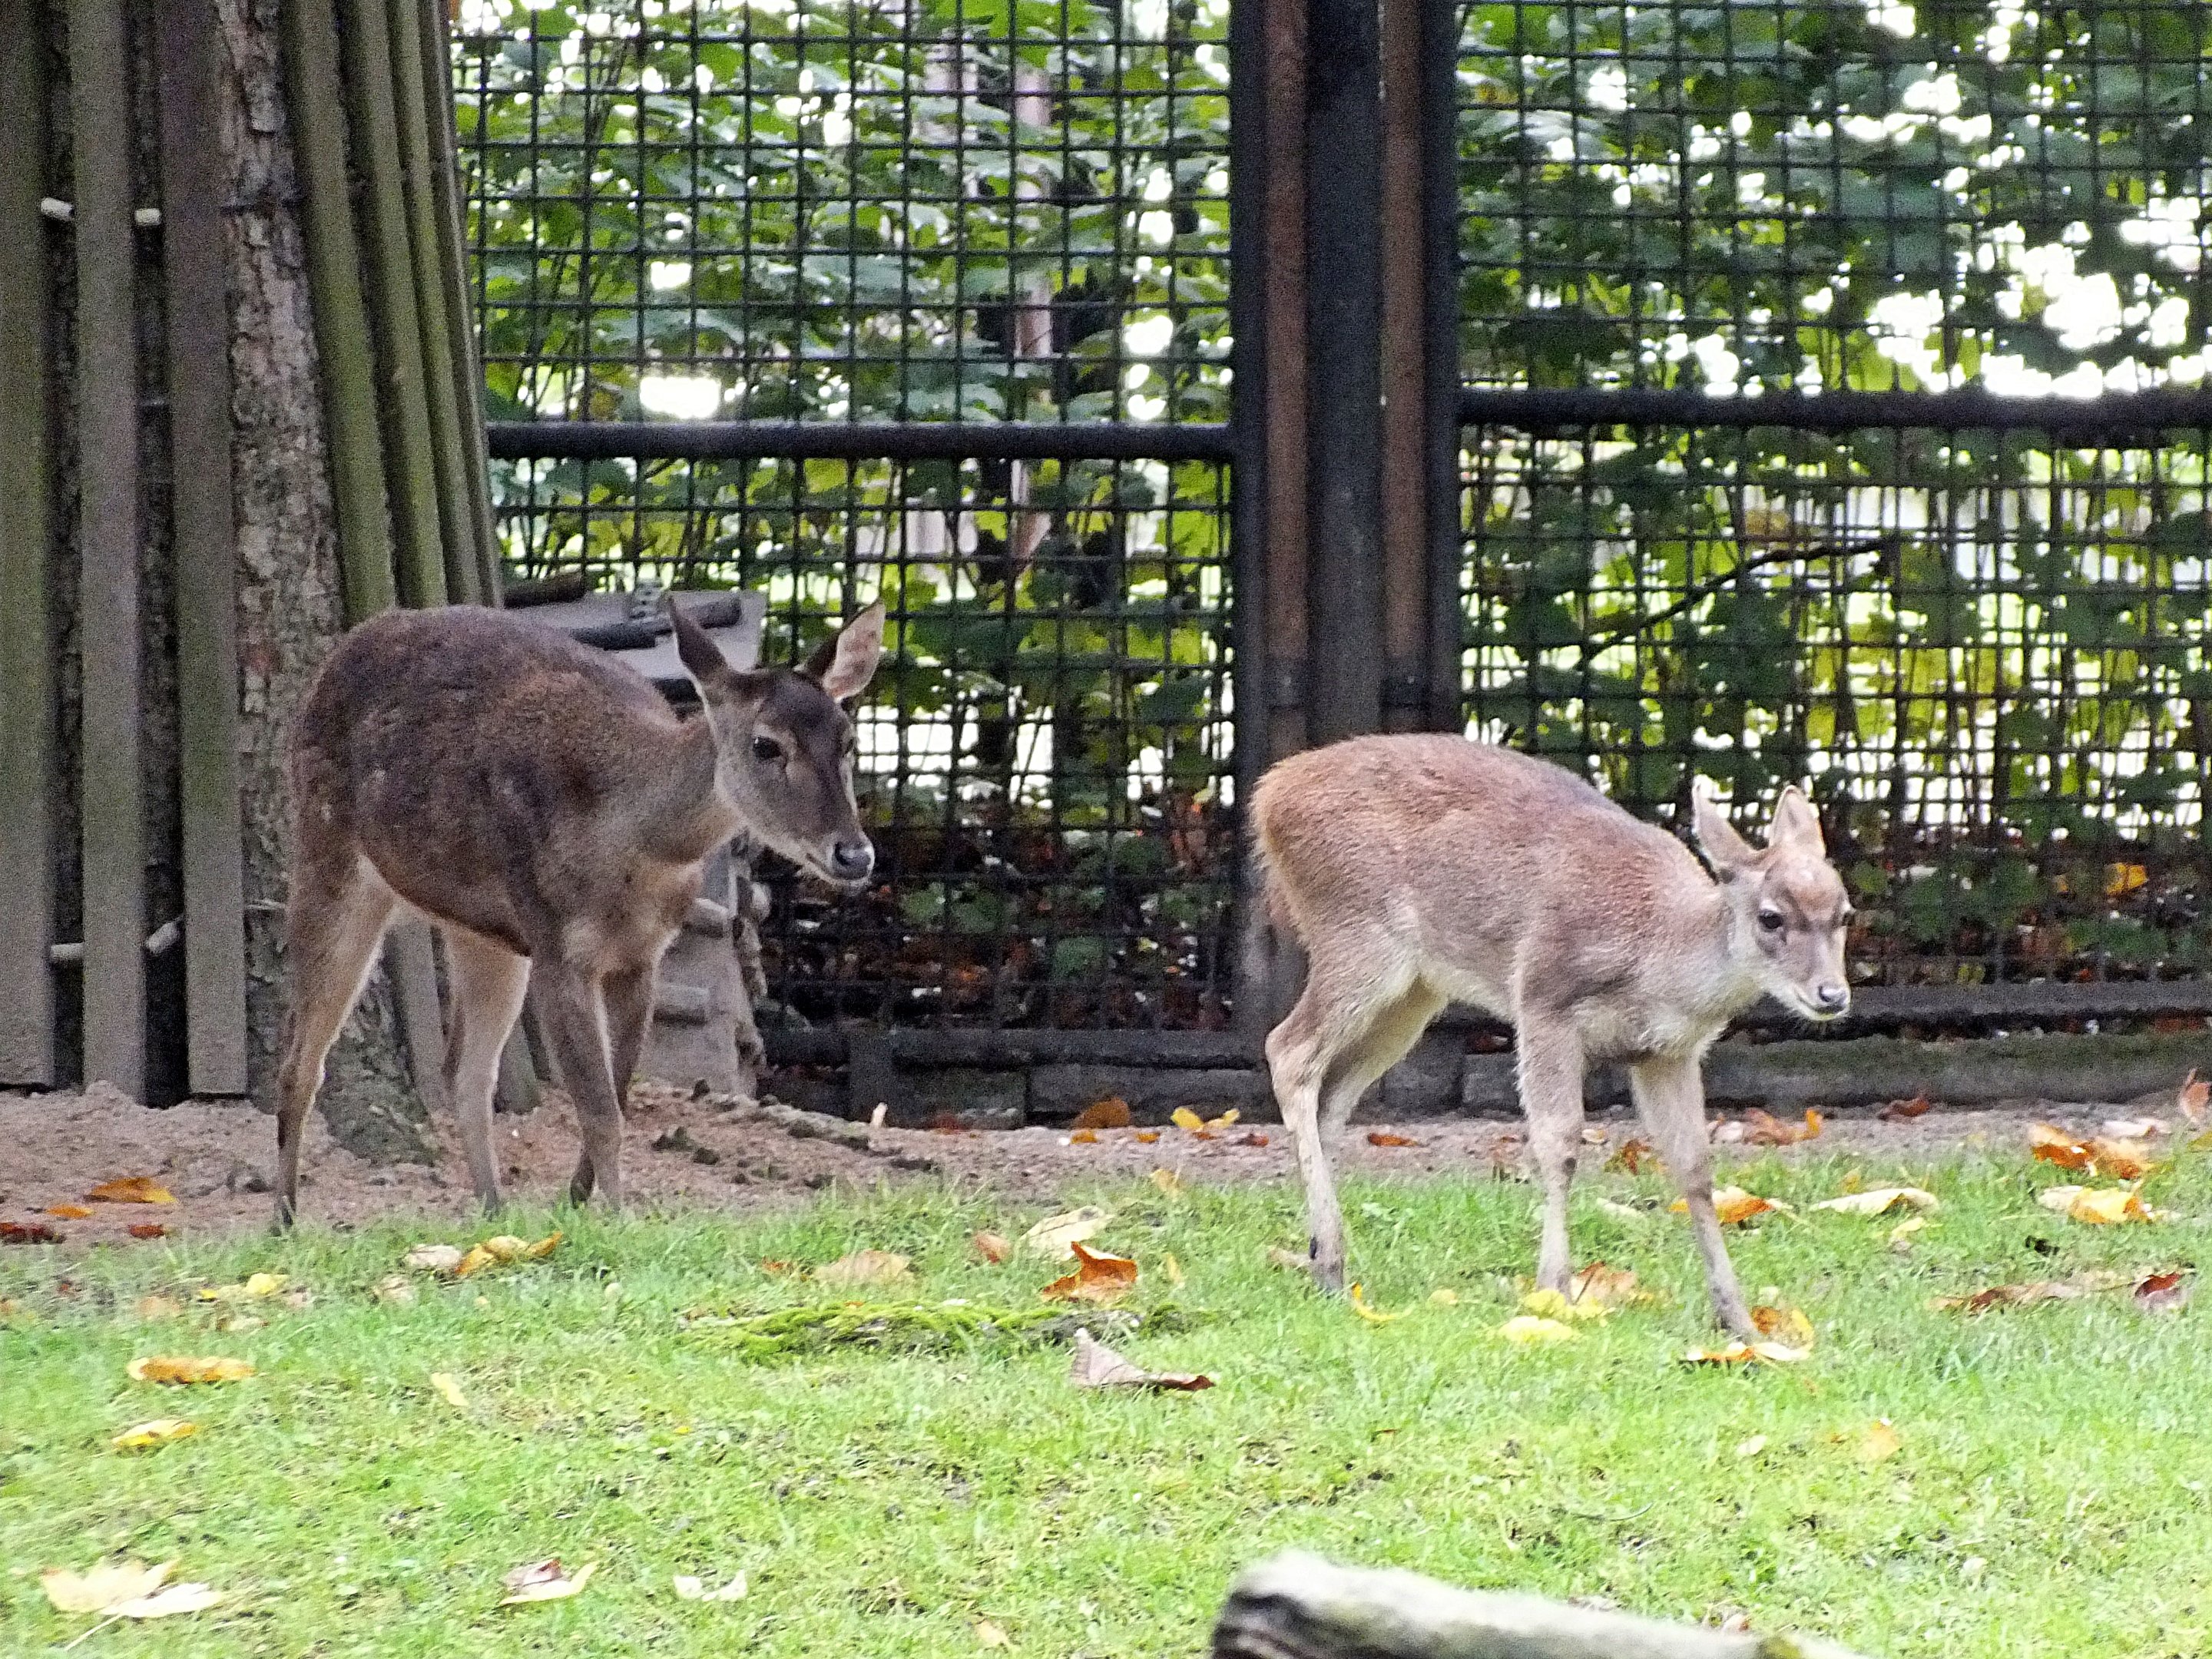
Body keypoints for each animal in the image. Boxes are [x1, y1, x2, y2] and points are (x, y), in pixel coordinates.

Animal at [272, 598, 885, 1227]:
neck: (634, 843)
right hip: (327, 853)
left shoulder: (643, 956)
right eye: (766, 744)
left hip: (483, 932)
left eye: (848, 740)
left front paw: (578, 1203)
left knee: (464, 1072)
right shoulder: (557, 945)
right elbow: (598, 1109)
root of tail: (342, 650)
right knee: (300, 1061)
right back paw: (286, 1220)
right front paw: (618, 1218)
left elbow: (617, 1095)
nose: (855, 854)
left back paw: (495, 1213)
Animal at [1253, 736, 1853, 1338]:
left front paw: (1740, 1320)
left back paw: (1320, 1259)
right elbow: (1558, 1142)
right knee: (1288, 1049)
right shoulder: (1545, 1000)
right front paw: (1554, 1294)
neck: (1656, 956)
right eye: (1771, 917)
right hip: (1357, 937)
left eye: (1845, 912)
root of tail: (1268, 795)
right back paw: (1331, 1261)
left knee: (1331, 1094)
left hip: (1414, 995)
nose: (1833, 994)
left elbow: (1695, 1168)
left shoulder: (1667, 1052)